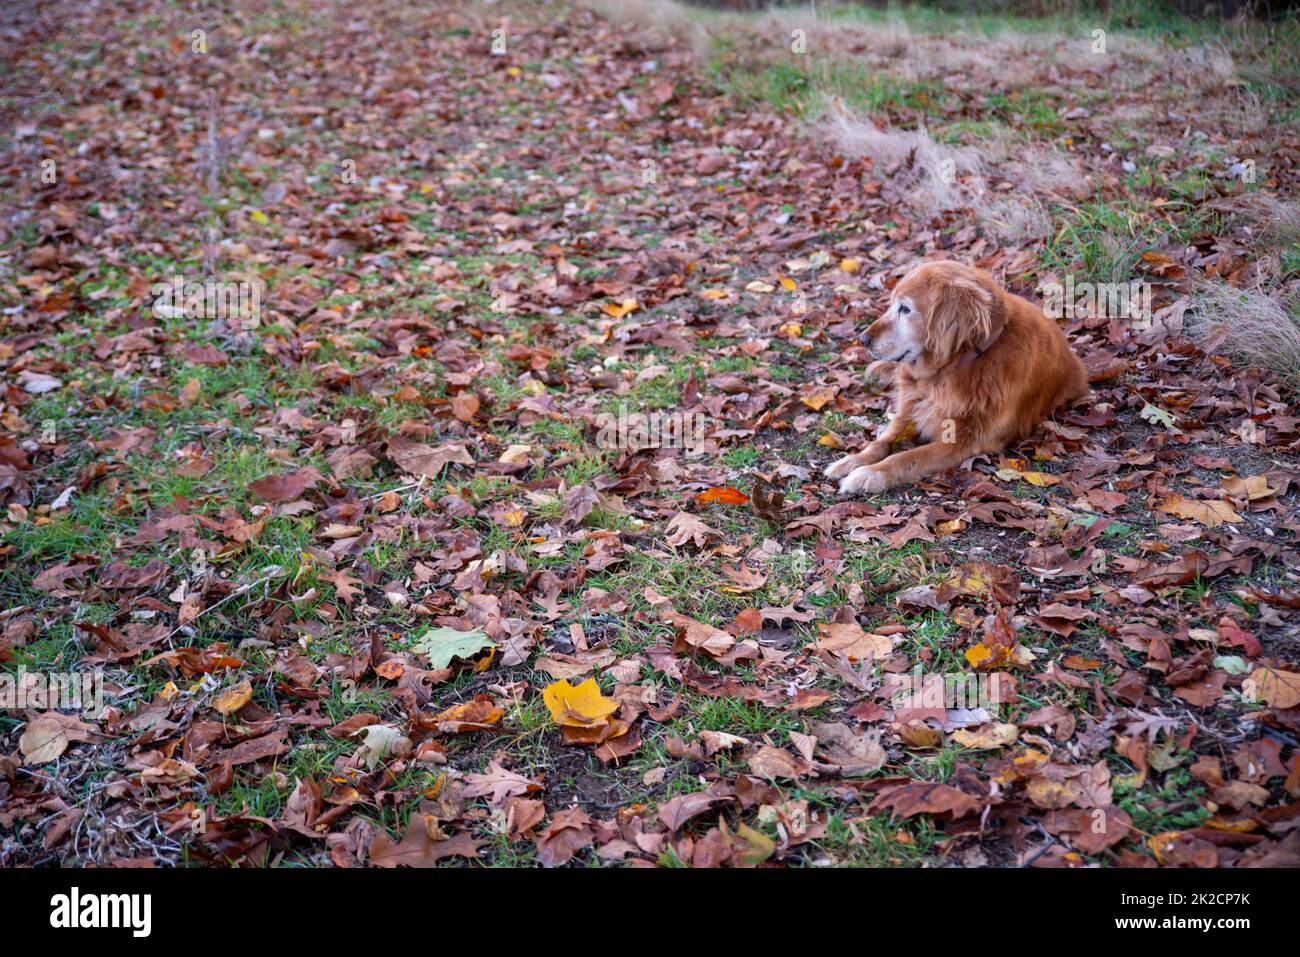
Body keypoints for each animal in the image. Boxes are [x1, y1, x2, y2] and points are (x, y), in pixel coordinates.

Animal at [826, 263, 1092, 496]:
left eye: (905, 309)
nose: (863, 339)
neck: (946, 372)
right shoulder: (911, 407)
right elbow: (880, 442)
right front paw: (851, 461)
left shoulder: (962, 440)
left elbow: (906, 457)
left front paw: (868, 474)